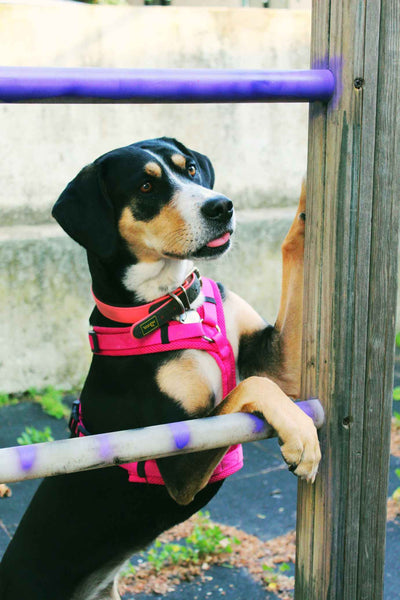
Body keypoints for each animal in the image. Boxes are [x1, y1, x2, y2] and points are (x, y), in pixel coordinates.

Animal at [0, 137, 320, 600]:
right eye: (146, 187)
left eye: (190, 170)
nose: (222, 206)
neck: (174, 308)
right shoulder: (181, 468)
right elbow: (249, 388)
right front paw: (300, 434)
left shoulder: (280, 358)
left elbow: (291, 246)